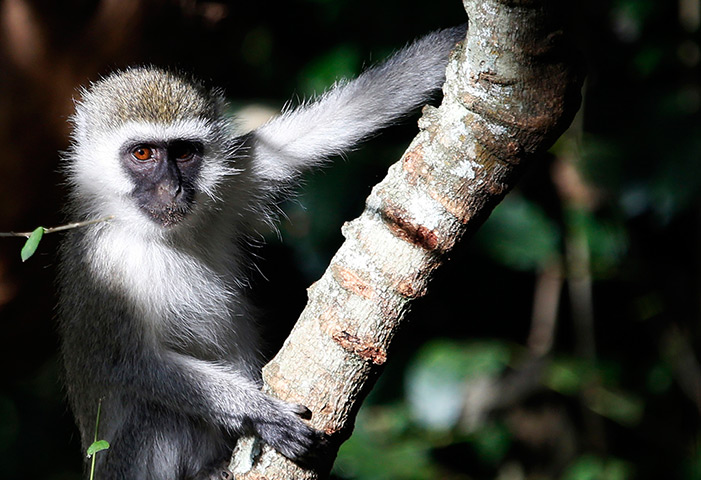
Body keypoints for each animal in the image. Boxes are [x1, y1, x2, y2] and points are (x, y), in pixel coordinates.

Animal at [57, 26, 465, 480]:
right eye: (142, 153)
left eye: (184, 153)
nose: (172, 189)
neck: (157, 234)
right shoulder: (103, 267)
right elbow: (131, 363)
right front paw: (263, 414)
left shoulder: (239, 173)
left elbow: (346, 115)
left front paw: (455, 43)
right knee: (158, 413)